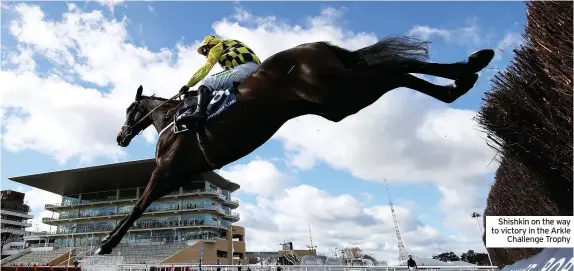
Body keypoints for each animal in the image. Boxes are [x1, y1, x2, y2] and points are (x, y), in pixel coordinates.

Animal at [98, 36, 496, 255]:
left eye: (130, 109)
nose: (120, 137)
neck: (172, 119)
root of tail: (313, 46)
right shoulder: (179, 176)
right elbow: (145, 205)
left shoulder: (167, 169)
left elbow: (137, 205)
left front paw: (106, 243)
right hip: (337, 101)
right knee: (391, 70)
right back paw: (462, 76)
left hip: (338, 93)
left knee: (389, 69)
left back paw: (466, 68)